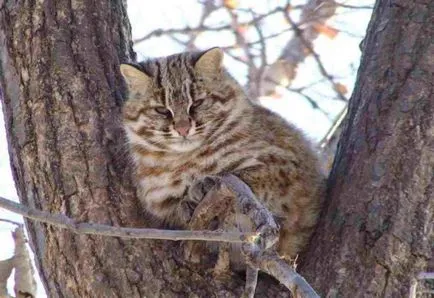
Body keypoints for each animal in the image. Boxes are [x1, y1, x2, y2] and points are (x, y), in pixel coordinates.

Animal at [120, 48, 324, 258]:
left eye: (197, 103)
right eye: (161, 110)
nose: (183, 129)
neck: (186, 159)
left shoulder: (287, 165)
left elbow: (244, 173)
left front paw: (204, 184)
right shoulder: (158, 202)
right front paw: (185, 202)